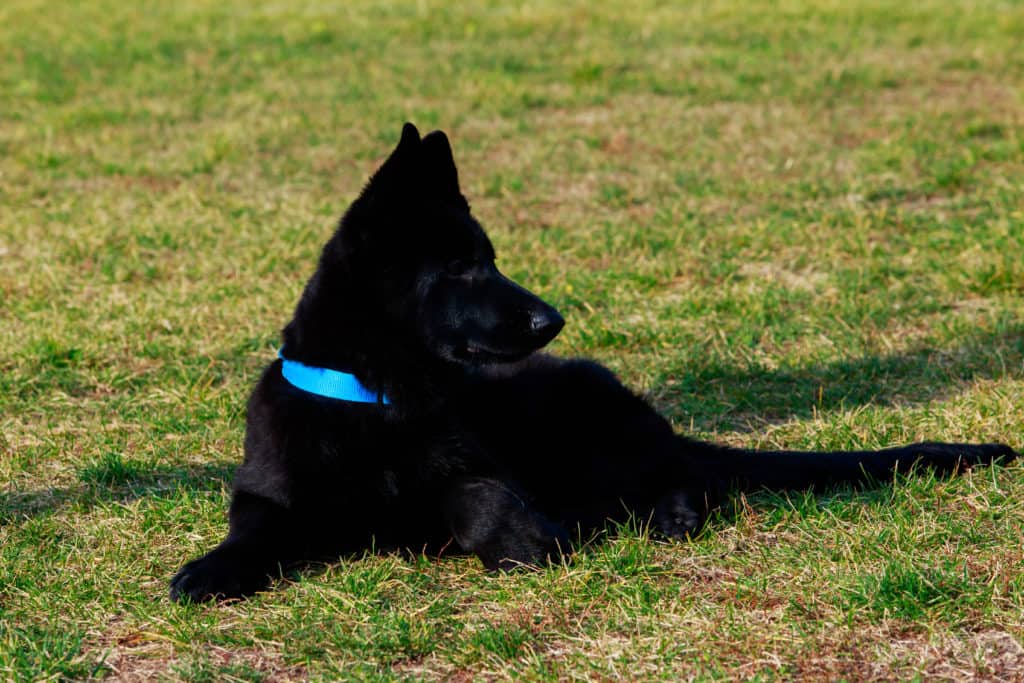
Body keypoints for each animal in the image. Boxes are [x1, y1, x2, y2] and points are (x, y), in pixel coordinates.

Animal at [169, 124, 1015, 602]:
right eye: (463, 267)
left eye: (491, 258)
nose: (553, 318)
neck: (379, 400)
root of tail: (652, 418)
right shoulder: (267, 497)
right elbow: (253, 531)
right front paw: (211, 569)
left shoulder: (475, 473)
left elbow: (474, 496)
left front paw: (522, 534)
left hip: (582, 436)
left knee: (680, 478)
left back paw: (667, 512)